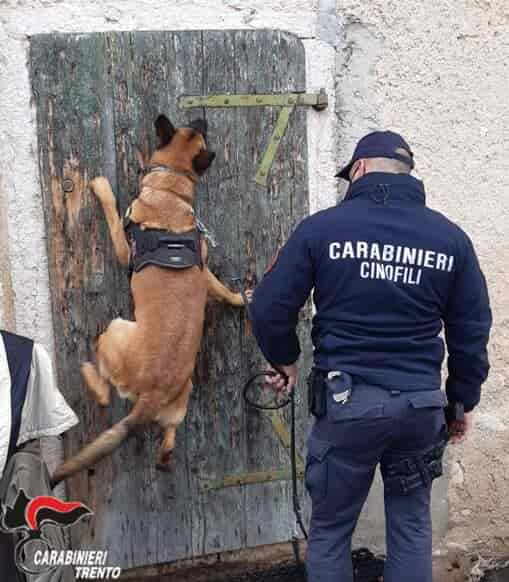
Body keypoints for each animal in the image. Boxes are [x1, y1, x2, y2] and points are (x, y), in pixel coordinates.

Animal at [50, 114, 246, 488]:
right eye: (194, 127)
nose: (202, 116)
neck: (171, 186)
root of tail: (153, 393)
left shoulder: (123, 246)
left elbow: (112, 213)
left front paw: (102, 189)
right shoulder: (204, 270)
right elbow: (220, 287)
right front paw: (240, 299)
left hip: (115, 330)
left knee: (103, 392)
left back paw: (87, 371)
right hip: (179, 403)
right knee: (167, 445)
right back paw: (164, 457)